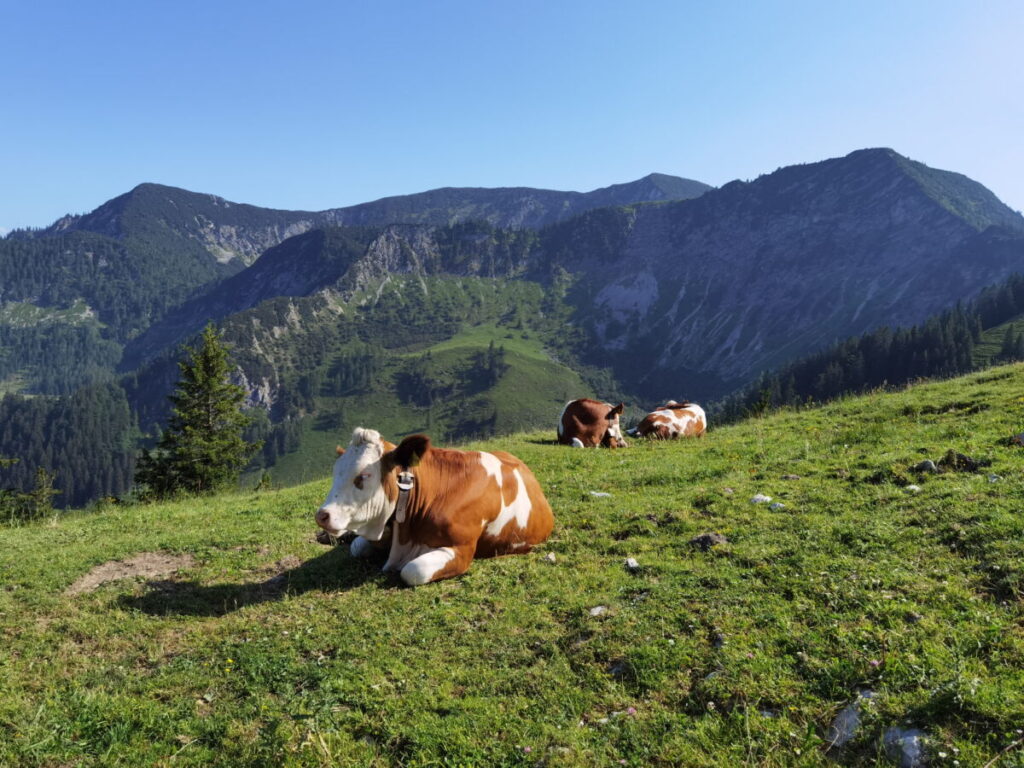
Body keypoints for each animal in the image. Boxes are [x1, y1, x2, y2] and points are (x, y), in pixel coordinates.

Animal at [313, 430, 552, 585]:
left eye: (363, 475)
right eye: (335, 473)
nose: (322, 515)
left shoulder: (461, 548)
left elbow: (413, 571)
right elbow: (357, 547)